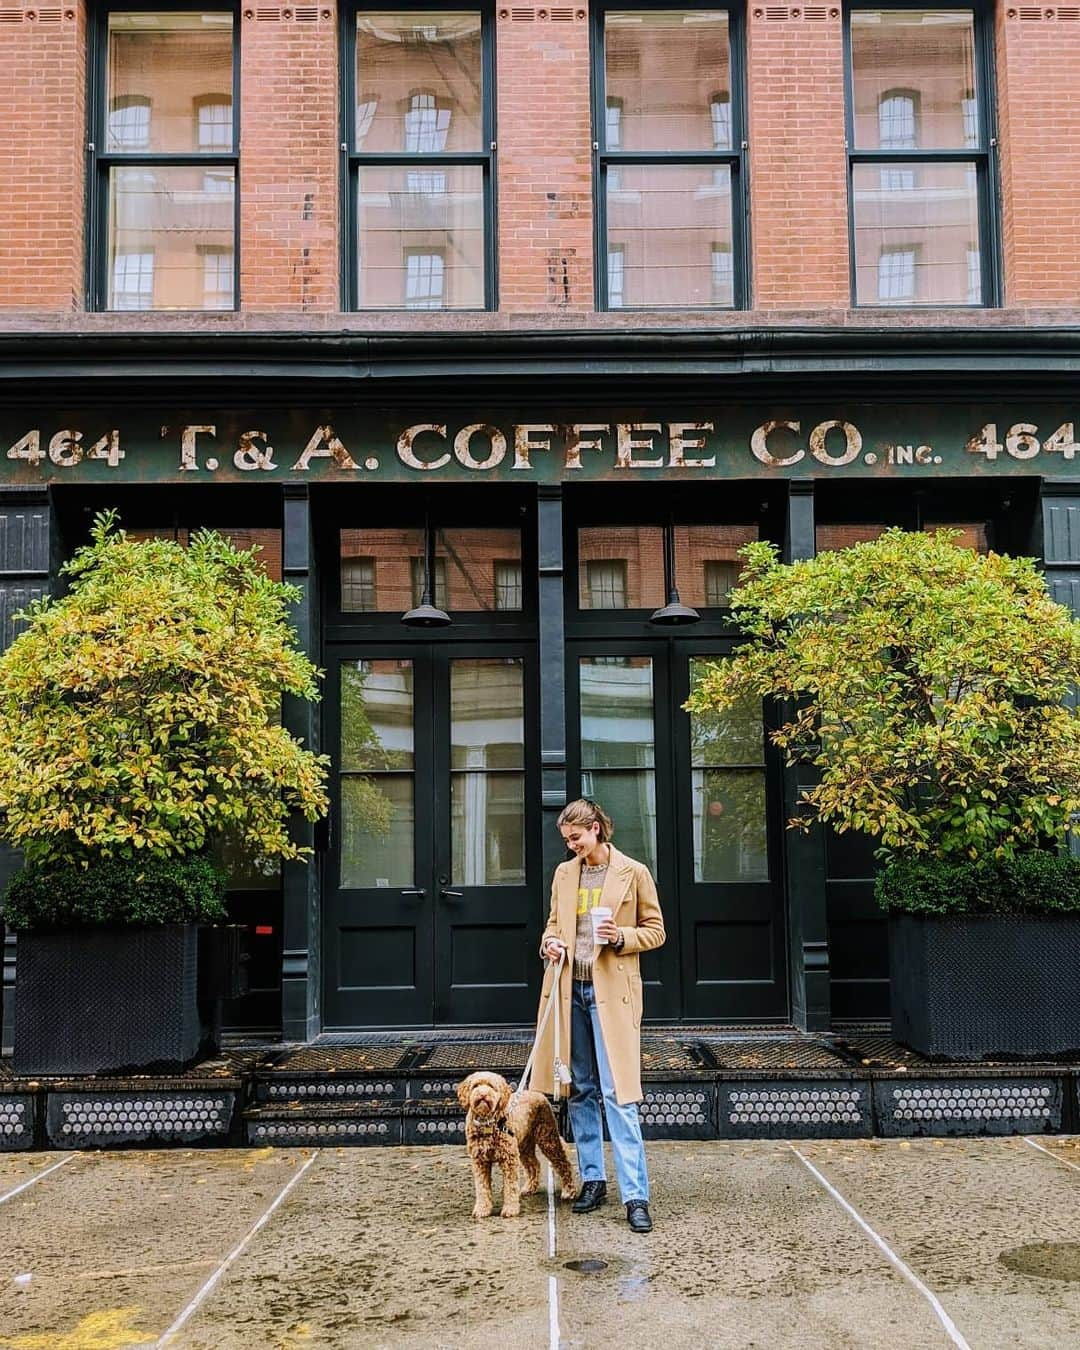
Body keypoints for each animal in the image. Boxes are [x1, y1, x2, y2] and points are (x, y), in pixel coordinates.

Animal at [453, 1069, 572, 1220]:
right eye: (476, 1086)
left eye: (491, 1086)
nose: (483, 1094)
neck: (488, 1123)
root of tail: (535, 1092)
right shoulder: (479, 1161)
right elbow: (482, 1187)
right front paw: (482, 1209)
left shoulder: (508, 1159)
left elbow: (510, 1186)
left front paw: (510, 1209)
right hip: (524, 1146)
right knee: (534, 1164)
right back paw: (530, 1187)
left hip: (547, 1138)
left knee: (563, 1163)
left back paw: (569, 1190)